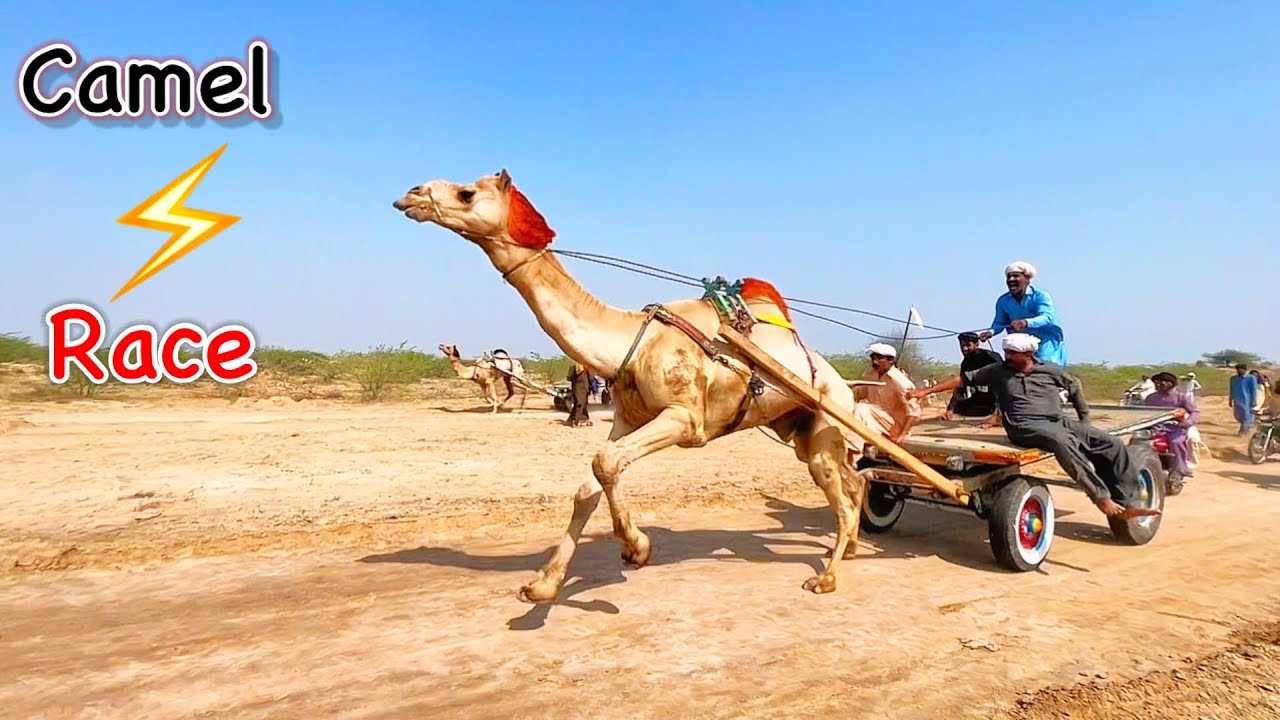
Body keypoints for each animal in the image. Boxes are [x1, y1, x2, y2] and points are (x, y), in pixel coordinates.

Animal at [394, 170, 866, 602]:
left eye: (466, 192)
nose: (410, 195)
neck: (629, 342)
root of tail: (848, 388)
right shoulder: (627, 420)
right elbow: (589, 485)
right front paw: (543, 584)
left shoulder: (685, 418)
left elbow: (605, 463)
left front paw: (637, 548)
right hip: (801, 428)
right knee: (852, 481)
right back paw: (852, 550)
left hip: (827, 418)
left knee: (841, 495)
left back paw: (825, 578)